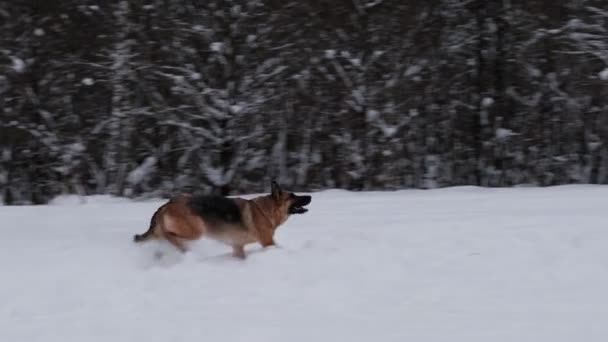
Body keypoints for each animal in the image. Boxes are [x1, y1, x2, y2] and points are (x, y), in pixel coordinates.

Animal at [135, 180, 312, 258]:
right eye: (293, 196)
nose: (309, 196)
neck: (266, 210)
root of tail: (167, 204)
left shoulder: (237, 247)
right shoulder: (268, 243)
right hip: (197, 231)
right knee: (170, 236)